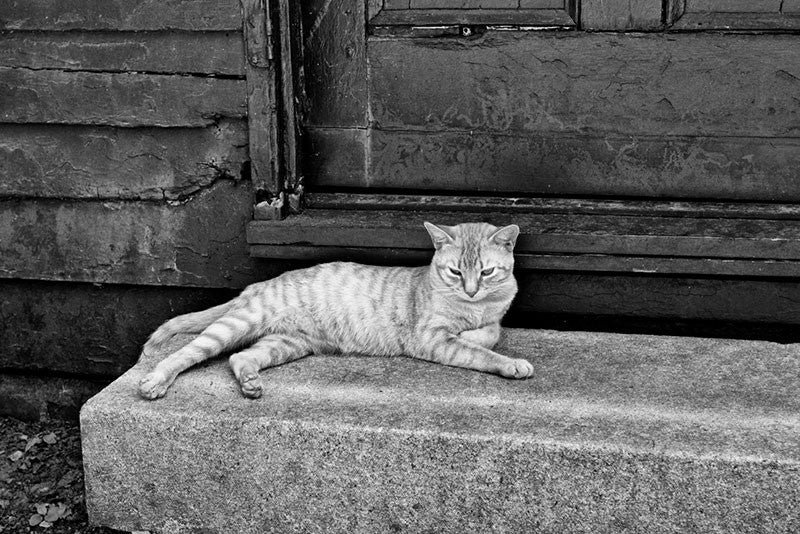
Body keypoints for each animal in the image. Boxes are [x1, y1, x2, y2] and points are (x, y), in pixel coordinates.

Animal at [139, 222, 532, 402]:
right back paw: (155, 381)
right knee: (184, 353)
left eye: (486, 272)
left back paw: (250, 382)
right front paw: (511, 364)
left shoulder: (489, 319)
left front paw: (479, 331)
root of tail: (257, 285)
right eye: (455, 272)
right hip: (238, 324)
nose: (471, 289)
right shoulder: (431, 338)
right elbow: (481, 351)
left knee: (239, 358)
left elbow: (491, 332)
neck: (475, 306)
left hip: (287, 344)